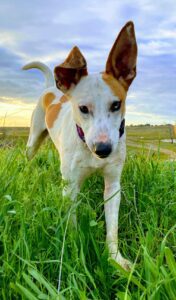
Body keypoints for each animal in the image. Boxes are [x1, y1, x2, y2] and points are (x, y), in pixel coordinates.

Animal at [23, 21, 138, 270]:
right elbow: (72, 223)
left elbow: (112, 226)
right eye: (83, 108)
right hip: (34, 138)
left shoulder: (113, 185)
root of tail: (51, 88)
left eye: (116, 105)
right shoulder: (71, 186)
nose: (103, 150)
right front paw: (76, 251)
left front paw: (115, 258)